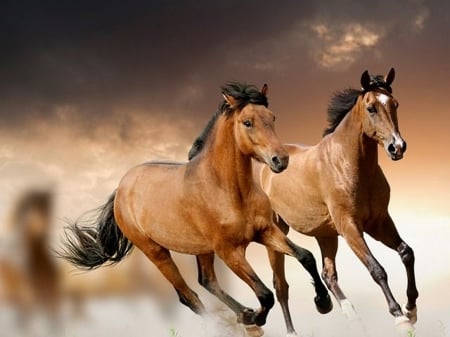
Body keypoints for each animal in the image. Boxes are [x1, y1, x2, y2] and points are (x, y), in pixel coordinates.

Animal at [59, 82, 330, 336]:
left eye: (272, 118)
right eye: (247, 122)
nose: (280, 160)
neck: (228, 190)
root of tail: (121, 188)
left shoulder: (265, 231)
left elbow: (306, 256)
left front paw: (323, 302)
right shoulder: (229, 251)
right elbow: (265, 294)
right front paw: (255, 318)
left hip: (202, 249)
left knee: (207, 281)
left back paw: (243, 315)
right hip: (157, 252)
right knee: (188, 296)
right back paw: (239, 322)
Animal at [258, 68, 420, 334]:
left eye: (394, 104)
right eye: (371, 108)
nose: (397, 147)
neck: (348, 165)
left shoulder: (379, 222)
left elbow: (406, 253)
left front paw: (411, 308)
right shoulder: (350, 227)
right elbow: (376, 269)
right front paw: (399, 316)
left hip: (325, 234)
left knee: (328, 274)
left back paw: (347, 313)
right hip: (276, 234)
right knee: (281, 286)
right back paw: (294, 330)